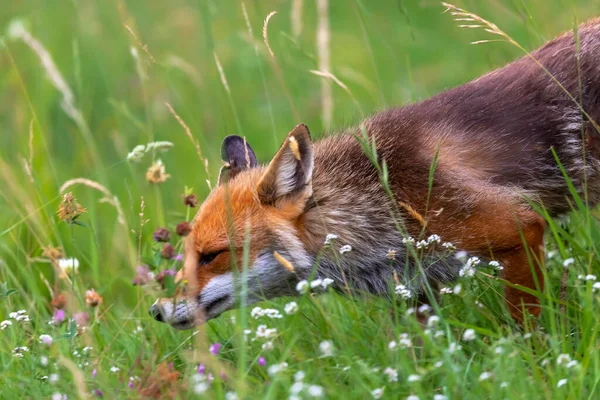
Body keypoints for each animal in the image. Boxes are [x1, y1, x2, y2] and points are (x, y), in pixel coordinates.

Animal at [149, 20, 600, 330]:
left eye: (212, 255)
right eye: (186, 256)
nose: (156, 310)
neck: (375, 200)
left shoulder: (517, 227)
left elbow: (528, 326)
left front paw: (537, 363)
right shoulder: (416, 290)